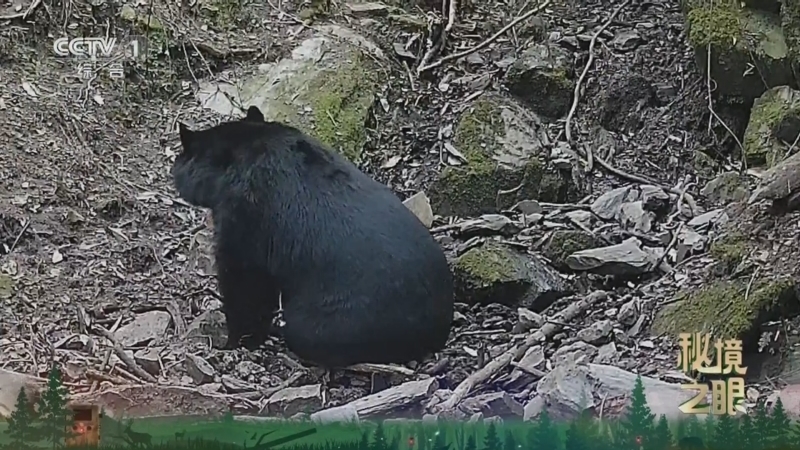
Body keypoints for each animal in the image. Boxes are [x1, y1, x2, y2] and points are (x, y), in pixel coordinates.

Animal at [171, 105, 455, 368]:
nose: (173, 172)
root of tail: (435, 328)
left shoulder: (245, 214)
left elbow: (246, 281)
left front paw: (237, 340)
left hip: (337, 318)